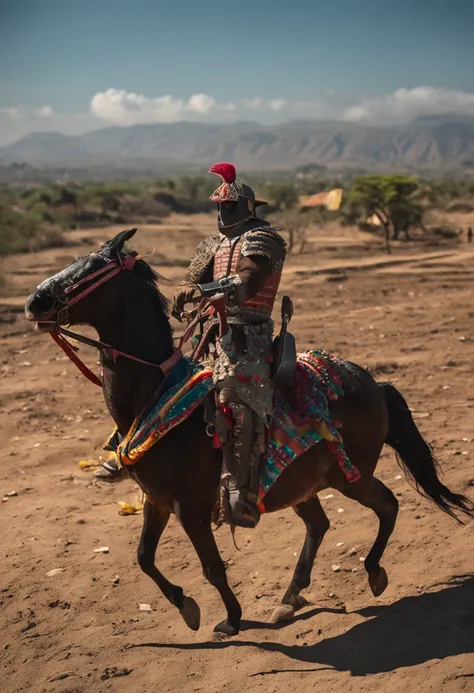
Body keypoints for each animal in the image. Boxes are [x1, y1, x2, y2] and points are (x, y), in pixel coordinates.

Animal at [25, 227, 474, 632]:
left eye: (92, 269)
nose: (35, 301)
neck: (155, 394)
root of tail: (373, 383)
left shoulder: (190, 508)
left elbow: (211, 567)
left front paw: (231, 617)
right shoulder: (156, 501)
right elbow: (143, 557)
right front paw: (186, 606)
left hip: (352, 476)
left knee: (388, 505)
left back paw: (373, 572)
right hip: (298, 481)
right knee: (319, 525)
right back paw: (290, 598)